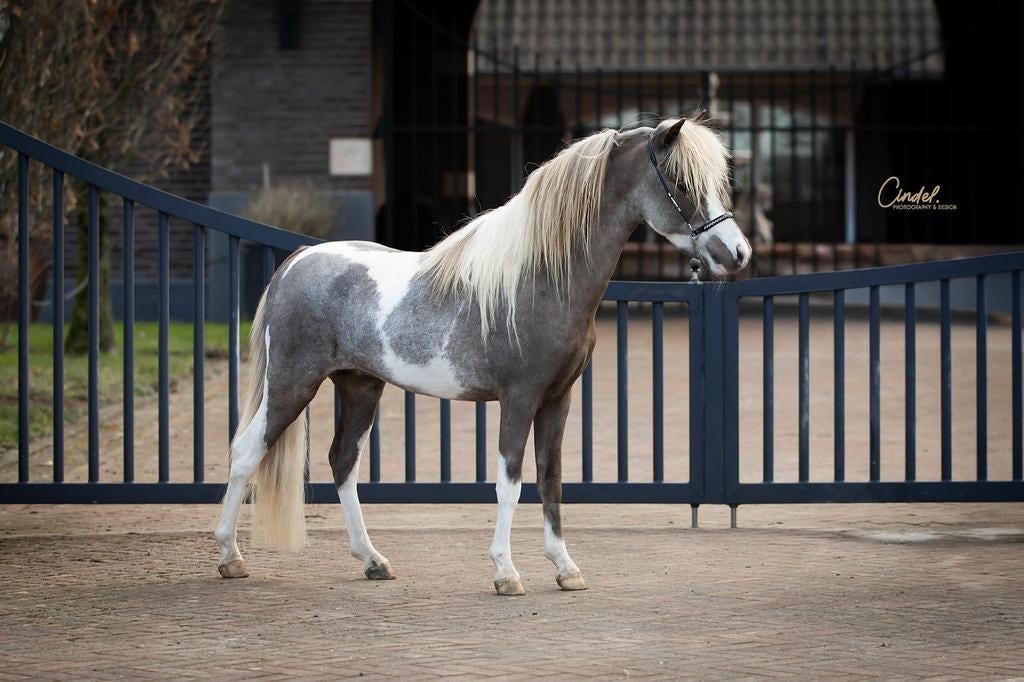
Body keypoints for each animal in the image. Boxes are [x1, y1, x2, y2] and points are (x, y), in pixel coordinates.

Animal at [213, 115, 752, 595]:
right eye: (681, 182)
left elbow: (551, 478)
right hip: (292, 383)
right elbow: (509, 483)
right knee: (246, 452)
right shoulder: (519, 399)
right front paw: (506, 574)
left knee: (343, 461)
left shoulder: (557, 400)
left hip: (360, 385)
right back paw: (230, 558)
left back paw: (373, 562)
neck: (544, 277)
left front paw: (566, 569)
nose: (738, 253)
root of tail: (295, 263)